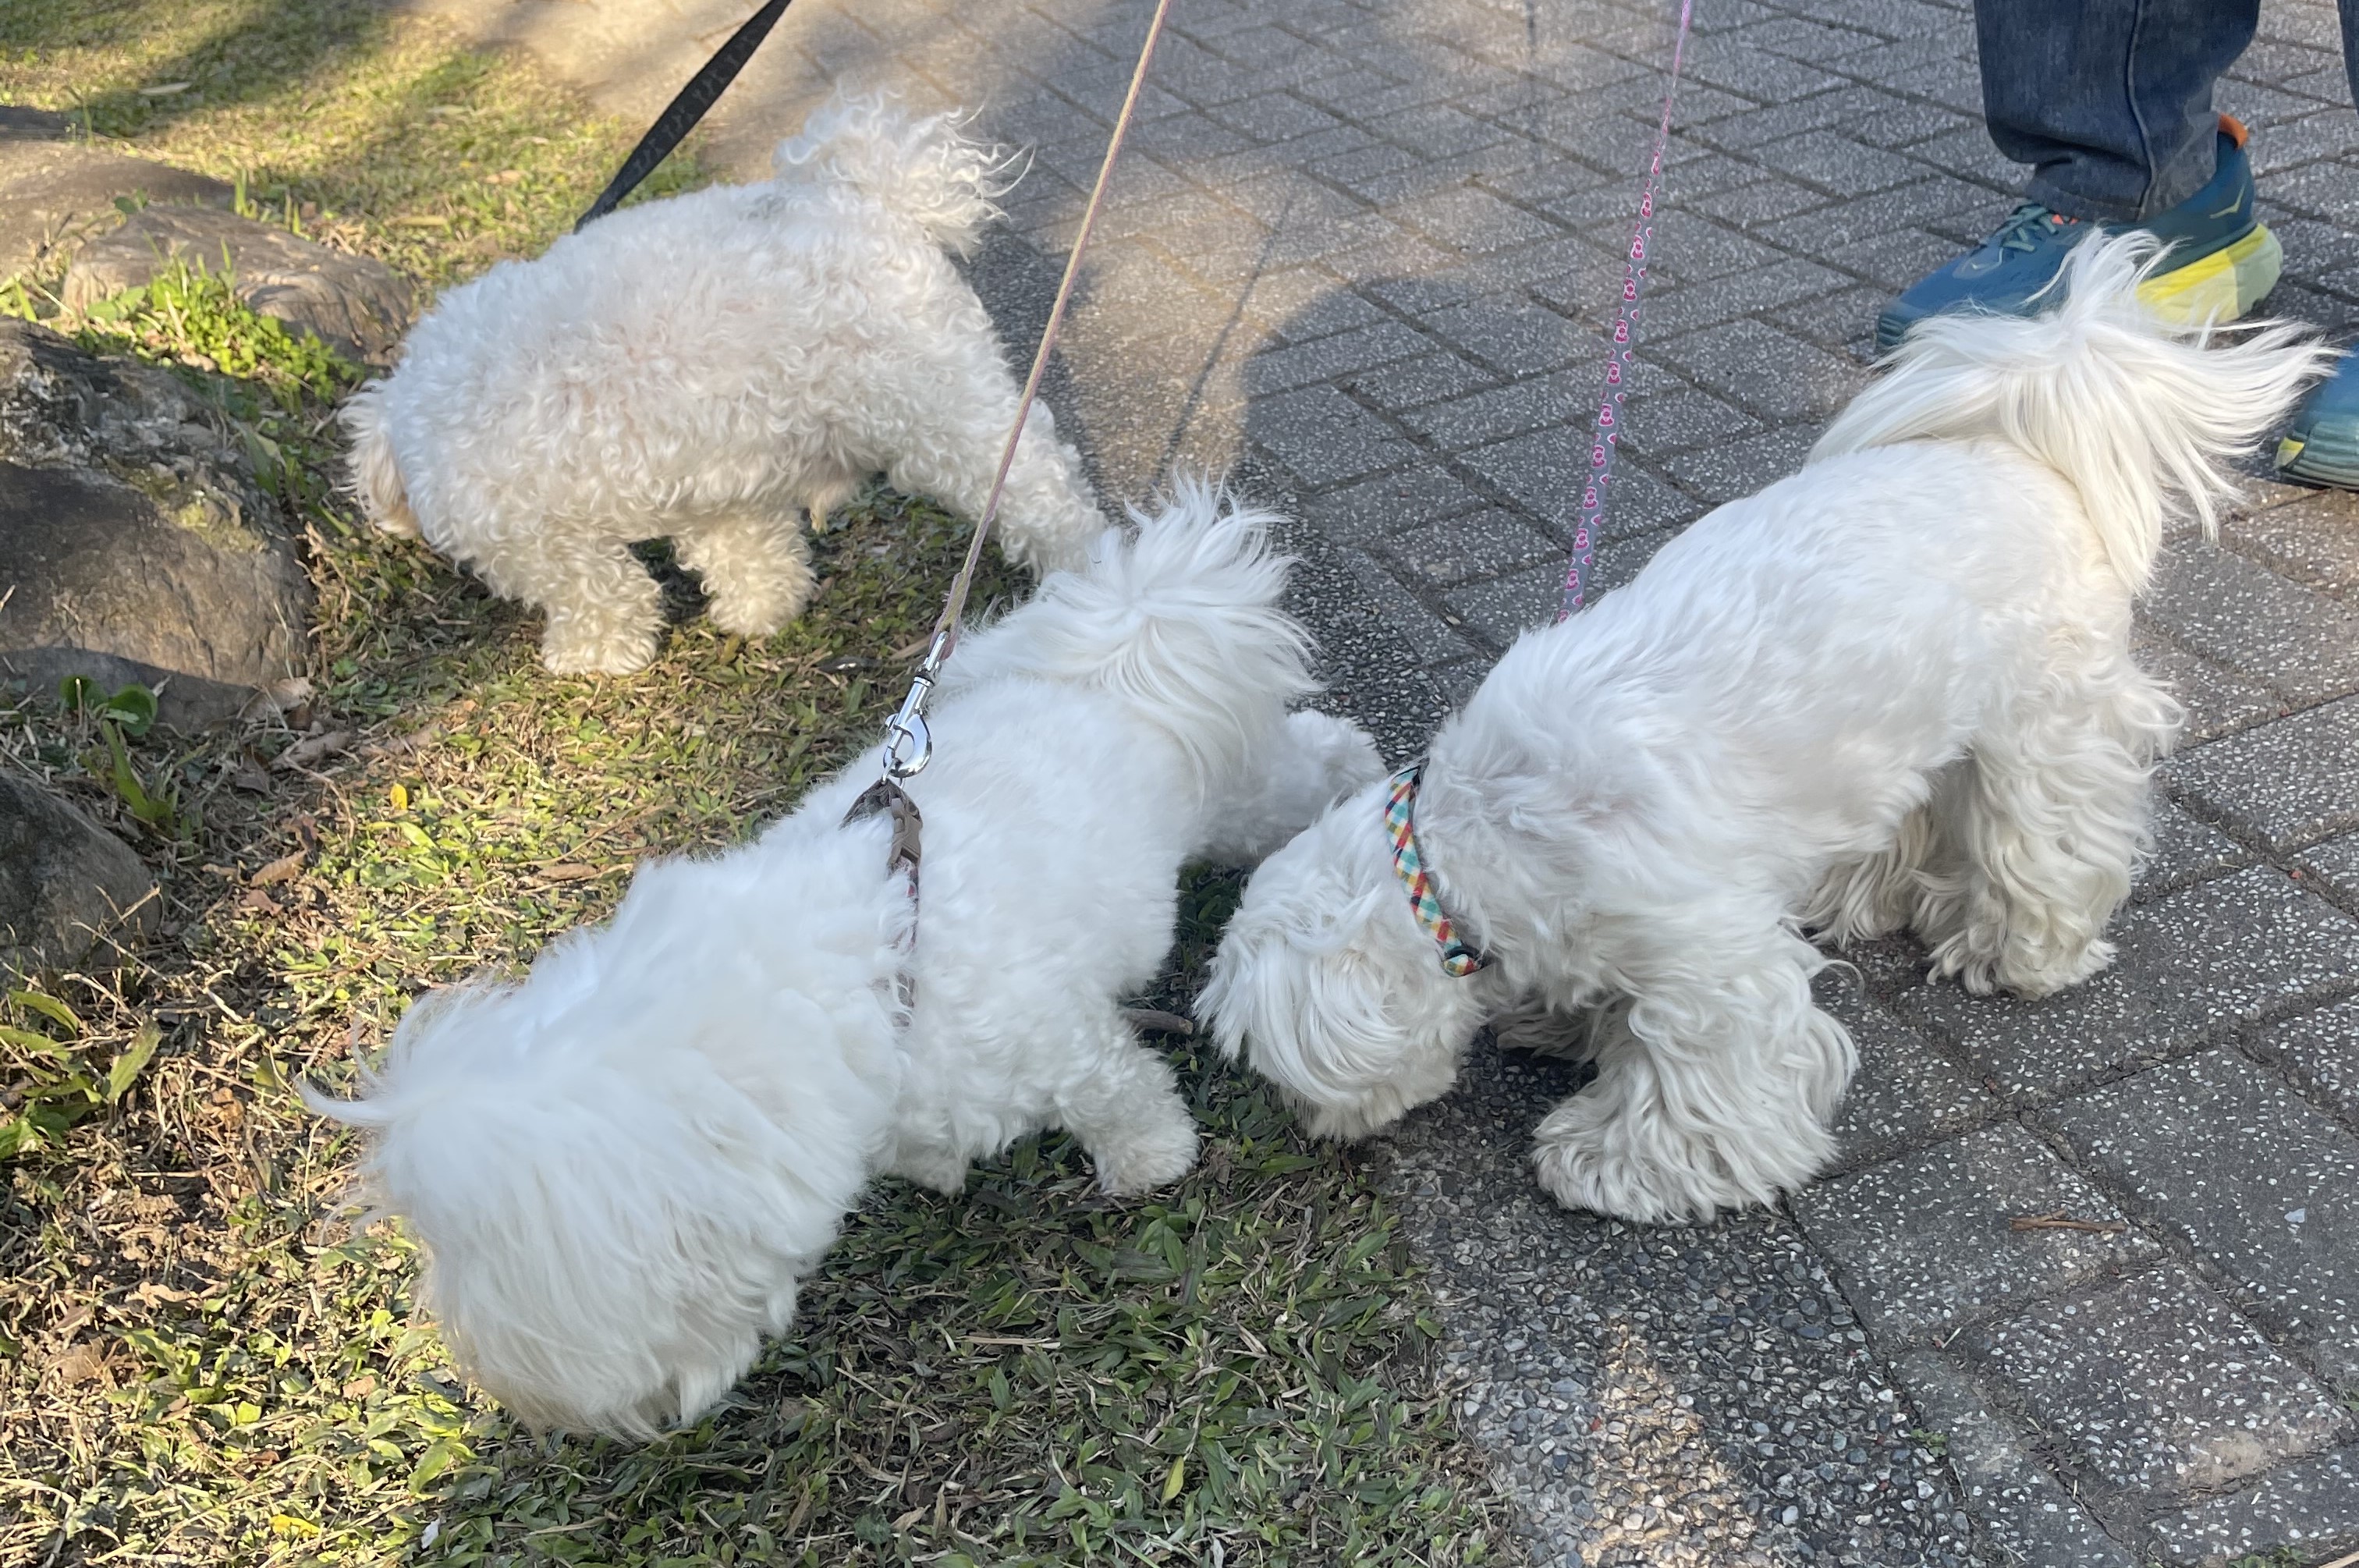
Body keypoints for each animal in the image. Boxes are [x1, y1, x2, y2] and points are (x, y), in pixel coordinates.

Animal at [309, 485, 1378, 1433]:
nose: (502, 1388)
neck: (852, 970)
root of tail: (1126, 637)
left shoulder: (1062, 1041)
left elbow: (1122, 1098)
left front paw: (1149, 1163)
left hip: (1238, 793)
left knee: (1304, 764)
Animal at [342, 93, 1104, 674]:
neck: (416, 417)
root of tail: (865, 196)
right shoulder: (719, 486)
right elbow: (749, 553)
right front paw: (762, 610)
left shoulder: (546, 542)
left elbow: (602, 596)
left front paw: (592, 657)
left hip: (939, 408)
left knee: (1041, 487)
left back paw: (1083, 574)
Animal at [1208, 238, 2330, 1226]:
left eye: (1276, 1069)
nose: (1313, 1133)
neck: (1475, 836)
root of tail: (2017, 446)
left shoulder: (1708, 964)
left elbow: (1697, 1078)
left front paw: (1617, 1164)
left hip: (2042, 728)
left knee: (2049, 843)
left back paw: (2022, 953)